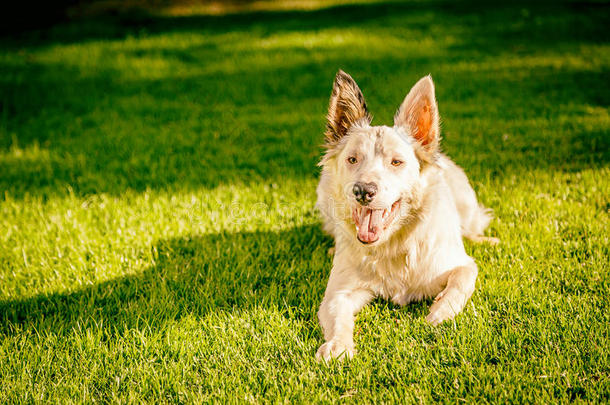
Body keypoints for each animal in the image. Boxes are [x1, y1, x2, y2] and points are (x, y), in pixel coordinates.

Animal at [314, 69, 494, 360]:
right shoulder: (338, 292)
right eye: (352, 159)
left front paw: (439, 313)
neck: (393, 245)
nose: (363, 191)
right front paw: (338, 346)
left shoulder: (459, 264)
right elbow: (337, 314)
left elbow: (463, 280)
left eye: (396, 162)